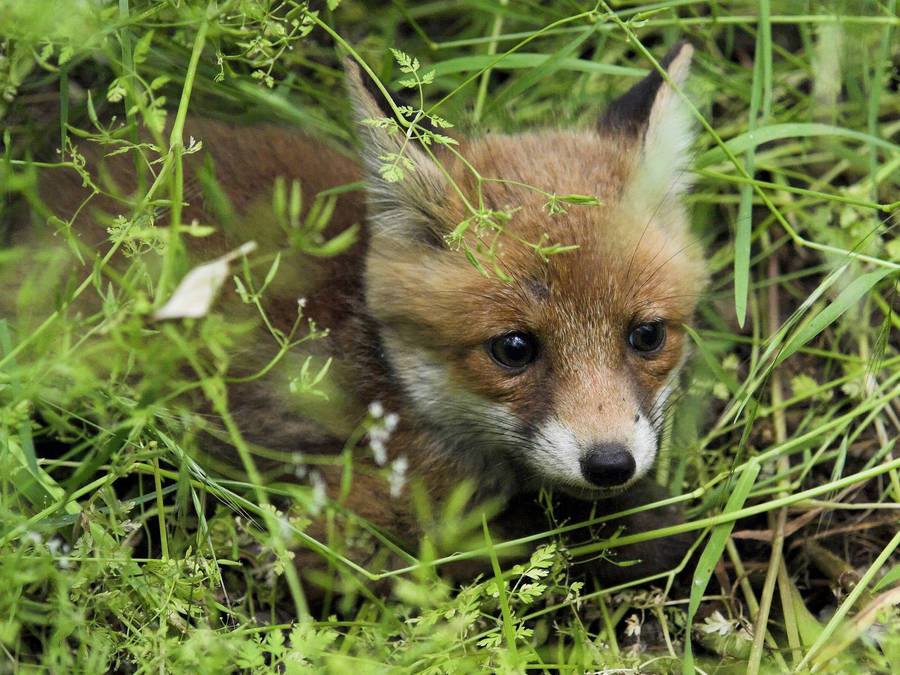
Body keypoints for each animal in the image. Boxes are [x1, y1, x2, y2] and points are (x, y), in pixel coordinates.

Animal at [27, 41, 705, 599]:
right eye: (514, 348)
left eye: (647, 336)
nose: (610, 464)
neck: (393, 390)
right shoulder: (332, 532)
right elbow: (529, 542)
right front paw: (654, 529)